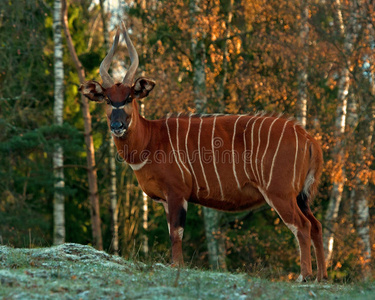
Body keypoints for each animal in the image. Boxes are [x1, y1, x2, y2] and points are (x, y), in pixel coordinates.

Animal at [80, 22, 328, 282]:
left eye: (128, 97)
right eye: (108, 100)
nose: (117, 125)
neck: (151, 140)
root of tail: (308, 137)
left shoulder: (177, 192)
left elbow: (176, 233)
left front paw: (177, 266)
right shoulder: (167, 199)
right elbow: (173, 232)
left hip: (280, 193)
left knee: (302, 226)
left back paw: (305, 276)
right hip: (299, 196)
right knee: (316, 225)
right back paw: (322, 276)